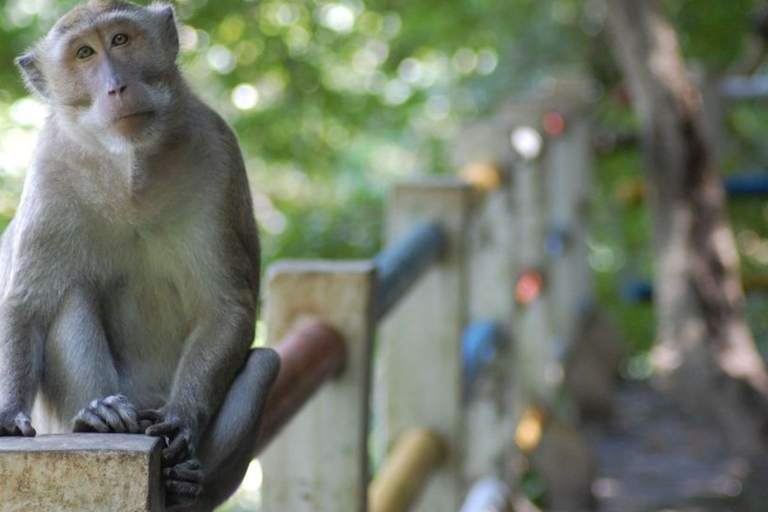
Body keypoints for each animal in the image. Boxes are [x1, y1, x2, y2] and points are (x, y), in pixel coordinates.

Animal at [0, 2, 280, 510]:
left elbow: (226, 308)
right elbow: (26, 303)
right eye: (84, 53)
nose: (116, 86)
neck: (130, 167)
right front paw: (9, 415)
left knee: (265, 364)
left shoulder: (218, 152)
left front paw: (181, 421)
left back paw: (185, 482)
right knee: (68, 295)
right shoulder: (51, 166)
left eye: (121, 40)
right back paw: (98, 417)